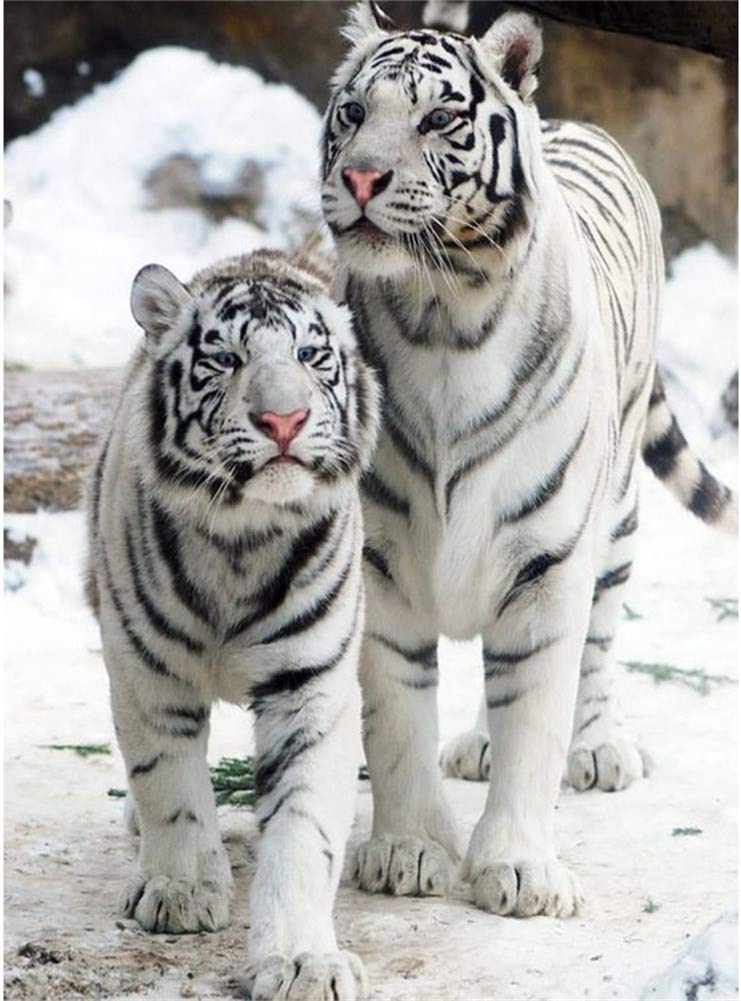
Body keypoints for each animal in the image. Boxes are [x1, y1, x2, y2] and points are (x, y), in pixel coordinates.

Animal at [85, 249, 378, 1000]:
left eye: (310, 355)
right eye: (225, 358)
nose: (284, 420)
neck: (241, 540)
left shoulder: (311, 686)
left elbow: (304, 829)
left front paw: (303, 961)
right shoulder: (147, 672)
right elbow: (168, 783)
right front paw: (180, 891)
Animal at [320, 2, 736, 919]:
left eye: (436, 120)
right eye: (353, 113)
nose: (360, 179)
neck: (441, 313)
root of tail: (572, 121)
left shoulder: (546, 562)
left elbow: (536, 719)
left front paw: (517, 869)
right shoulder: (382, 562)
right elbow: (396, 717)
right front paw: (405, 851)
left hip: (613, 516)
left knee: (599, 642)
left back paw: (600, 748)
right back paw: (475, 743)